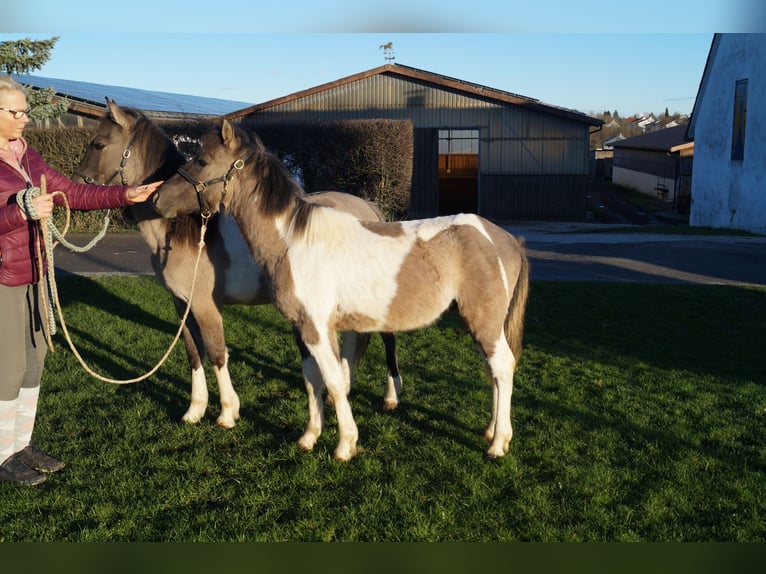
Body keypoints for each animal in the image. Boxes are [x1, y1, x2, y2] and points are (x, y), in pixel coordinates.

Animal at [75, 101, 404, 430]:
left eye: (98, 144)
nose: (76, 184)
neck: (184, 232)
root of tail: (368, 207)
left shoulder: (206, 306)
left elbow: (218, 354)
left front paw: (227, 412)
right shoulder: (181, 305)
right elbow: (194, 353)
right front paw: (195, 410)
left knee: (387, 337)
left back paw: (391, 396)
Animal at [153, 120, 532, 464]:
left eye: (202, 161)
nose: (157, 199)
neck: (293, 242)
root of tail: (506, 239)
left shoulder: (317, 329)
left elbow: (335, 381)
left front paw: (345, 445)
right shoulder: (301, 328)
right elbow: (312, 379)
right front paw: (310, 436)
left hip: (483, 323)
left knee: (502, 366)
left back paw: (498, 443)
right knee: (494, 372)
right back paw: (491, 431)